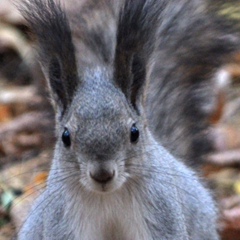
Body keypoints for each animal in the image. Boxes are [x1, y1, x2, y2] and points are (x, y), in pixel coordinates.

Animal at [16, 0, 238, 239]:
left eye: (134, 133)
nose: (102, 174)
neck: (109, 197)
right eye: (65, 137)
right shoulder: (61, 218)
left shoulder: (162, 210)